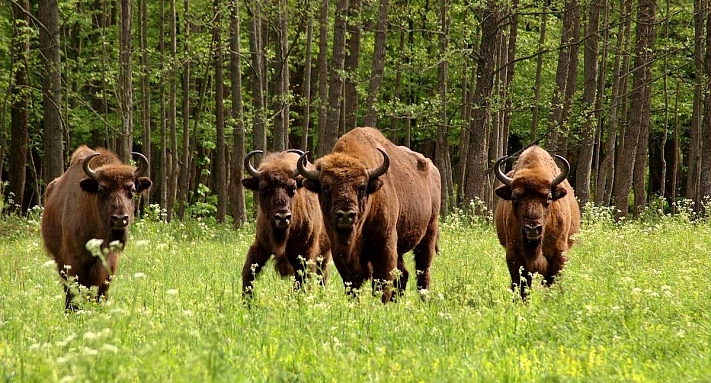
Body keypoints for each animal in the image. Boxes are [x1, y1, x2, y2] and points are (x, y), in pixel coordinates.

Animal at [242, 150, 334, 296]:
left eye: (293, 189)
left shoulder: (306, 253)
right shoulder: (260, 245)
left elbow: (303, 279)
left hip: (324, 253)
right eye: (263, 189)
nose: (282, 217)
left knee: (322, 276)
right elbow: (248, 270)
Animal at [294, 127, 440, 304]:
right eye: (326, 187)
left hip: (429, 232)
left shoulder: (385, 244)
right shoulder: (340, 252)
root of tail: (433, 169)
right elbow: (352, 282)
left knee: (423, 269)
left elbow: (382, 280)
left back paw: (423, 300)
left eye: (362, 187)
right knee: (404, 273)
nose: (346, 215)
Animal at [492, 146, 580, 298]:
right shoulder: (514, 256)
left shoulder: (558, 254)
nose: (532, 228)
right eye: (514, 197)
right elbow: (520, 285)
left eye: (549, 197)